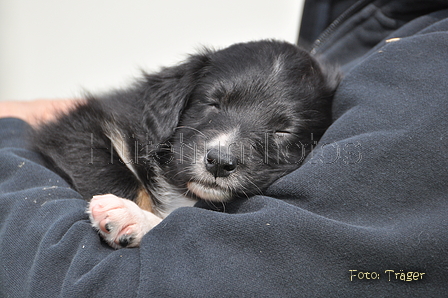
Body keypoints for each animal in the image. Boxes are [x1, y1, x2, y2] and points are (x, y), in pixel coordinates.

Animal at [31, 40, 340, 249]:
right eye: (213, 103)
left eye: (283, 131)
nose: (219, 162)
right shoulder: (78, 130)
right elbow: (121, 177)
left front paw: (133, 220)